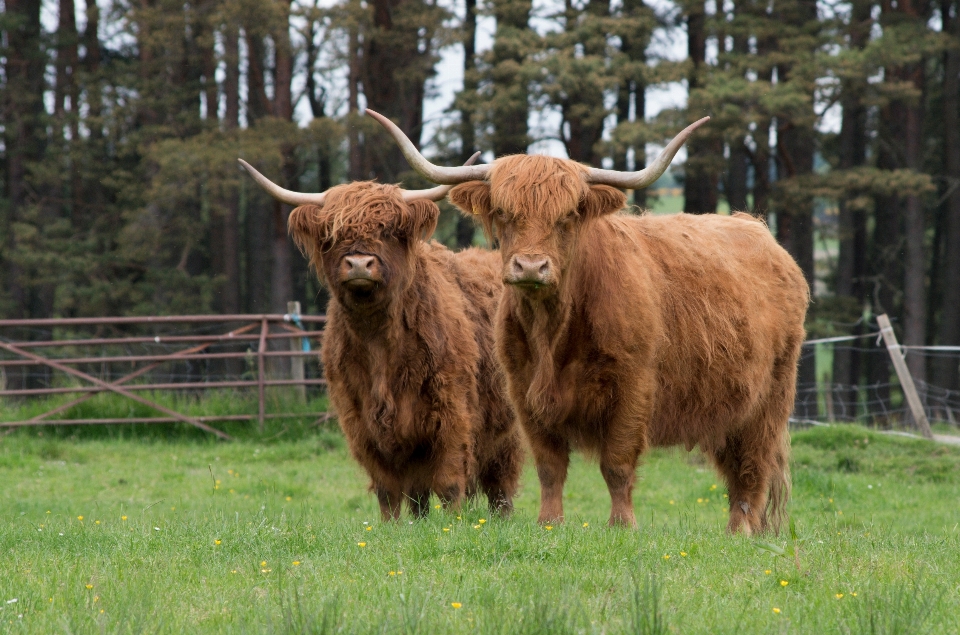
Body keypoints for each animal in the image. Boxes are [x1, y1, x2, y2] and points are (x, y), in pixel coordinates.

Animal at [236, 157, 520, 520]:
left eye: (388, 230)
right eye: (333, 234)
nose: (359, 263)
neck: (379, 346)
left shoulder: (451, 415)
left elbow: (449, 482)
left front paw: (453, 526)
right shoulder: (362, 422)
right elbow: (388, 489)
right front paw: (392, 527)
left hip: (507, 429)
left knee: (500, 485)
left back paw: (500, 520)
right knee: (419, 493)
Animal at [374, 110, 808, 536]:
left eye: (567, 217)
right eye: (503, 214)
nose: (531, 266)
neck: (553, 331)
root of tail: (760, 232)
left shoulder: (633, 387)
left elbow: (617, 463)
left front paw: (622, 525)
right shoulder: (524, 391)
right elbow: (549, 467)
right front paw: (549, 522)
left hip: (770, 398)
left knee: (753, 467)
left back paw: (741, 532)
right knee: (735, 466)